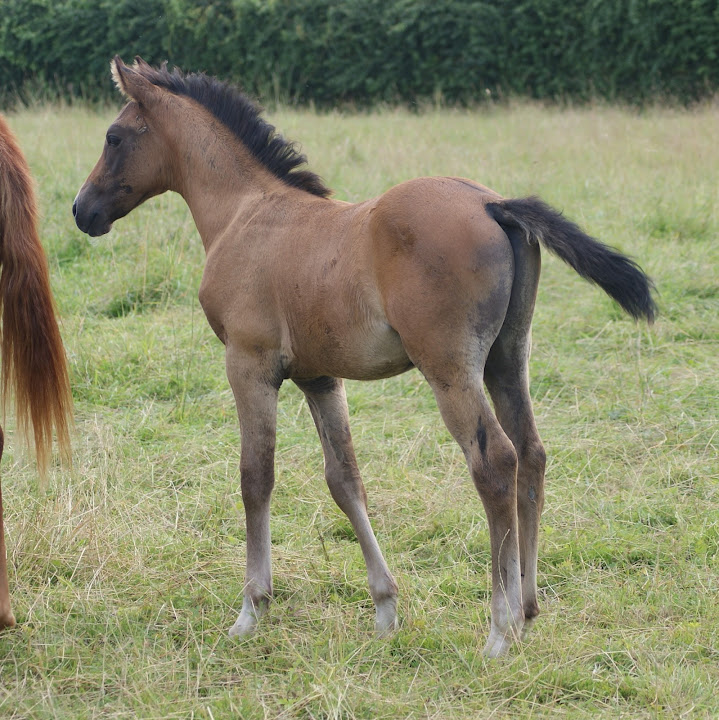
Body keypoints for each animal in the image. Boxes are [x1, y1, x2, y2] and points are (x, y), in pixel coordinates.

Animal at [74, 59, 660, 660]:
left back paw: (500, 628)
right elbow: (345, 480)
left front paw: (251, 610)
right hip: (507, 358)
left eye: (114, 137)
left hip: (450, 368)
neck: (244, 214)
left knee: (496, 461)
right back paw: (528, 607)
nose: (82, 211)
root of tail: (492, 205)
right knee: (533, 454)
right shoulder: (319, 377)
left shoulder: (250, 364)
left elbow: (256, 476)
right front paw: (385, 610)